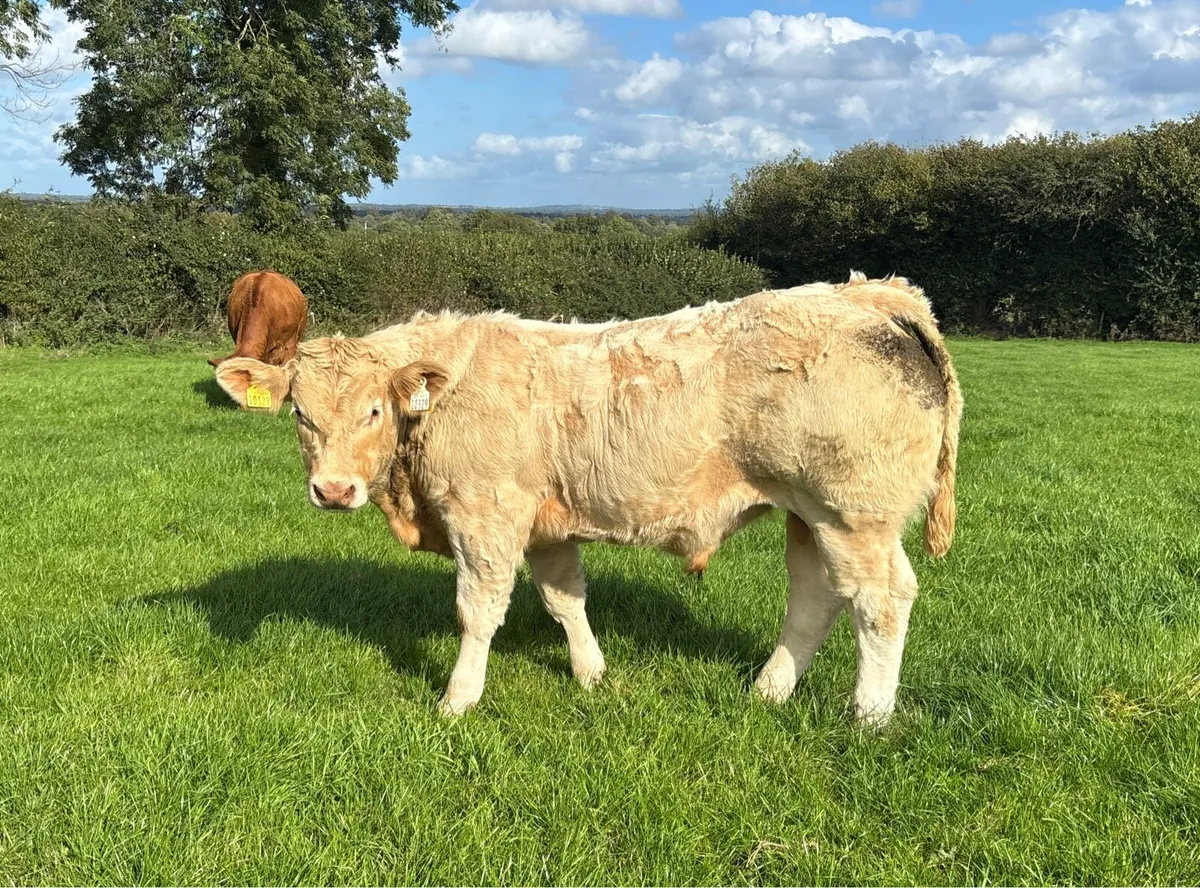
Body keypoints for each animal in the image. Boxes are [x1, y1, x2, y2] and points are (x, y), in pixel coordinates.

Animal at [214, 272, 963, 726]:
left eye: (373, 411)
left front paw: (458, 699)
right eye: (301, 415)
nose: (333, 489)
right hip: (810, 516)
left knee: (881, 601)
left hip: (852, 513)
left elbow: (478, 613)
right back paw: (769, 689)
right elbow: (564, 600)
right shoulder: (548, 526)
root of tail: (873, 295)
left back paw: (869, 716)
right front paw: (592, 674)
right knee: (816, 597)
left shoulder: (487, 517)